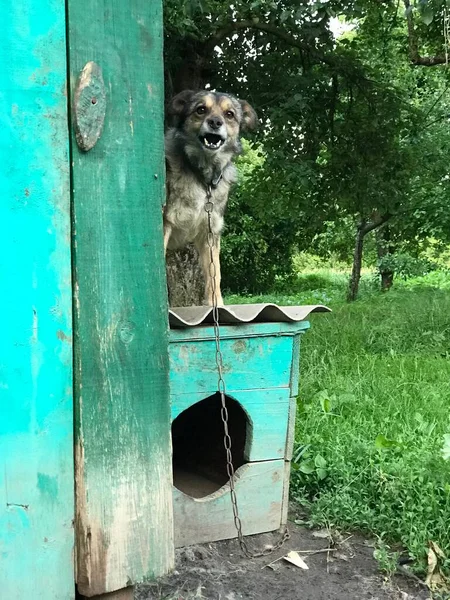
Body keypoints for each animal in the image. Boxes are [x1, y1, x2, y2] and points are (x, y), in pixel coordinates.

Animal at [164, 90, 256, 304]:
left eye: (229, 114)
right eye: (201, 109)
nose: (215, 122)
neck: (202, 177)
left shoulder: (210, 234)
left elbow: (215, 274)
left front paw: (217, 304)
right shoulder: (165, 224)